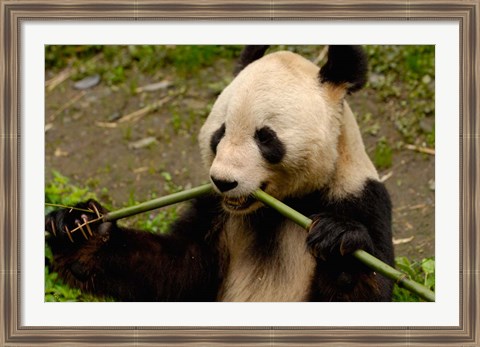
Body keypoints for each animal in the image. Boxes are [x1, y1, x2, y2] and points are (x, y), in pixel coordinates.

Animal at [45, 45, 394, 302]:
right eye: (220, 133)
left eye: (265, 138)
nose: (224, 182)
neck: (277, 209)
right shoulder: (214, 210)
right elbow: (175, 271)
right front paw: (79, 227)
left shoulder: (357, 196)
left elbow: (365, 290)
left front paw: (339, 244)